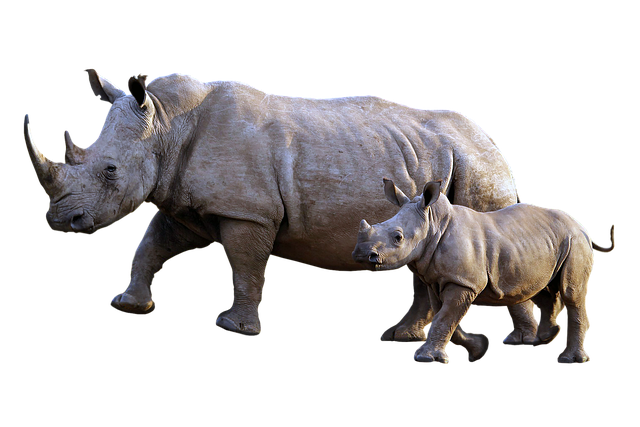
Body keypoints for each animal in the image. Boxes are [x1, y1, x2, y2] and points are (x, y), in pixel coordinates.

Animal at [23, 68, 540, 340]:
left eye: (110, 170)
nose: (59, 220)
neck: (166, 125)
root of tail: (495, 147)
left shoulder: (247, 210)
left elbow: (245, 263)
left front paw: (234, 329)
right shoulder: (188, 203)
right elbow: (153, 243)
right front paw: (129, 306)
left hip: (475, 168)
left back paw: (518, 341)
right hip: (442, 165)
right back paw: (401, 338)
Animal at [352, 179, 616, 364]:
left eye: (398, 238)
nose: (362, 254)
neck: (433, 223)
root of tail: (582, 227)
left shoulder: (463, 282)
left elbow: (443, 318)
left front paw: (425, 358)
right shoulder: (438, 280)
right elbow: (444, 317)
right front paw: (478, 349)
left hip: (575, 241)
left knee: (571, 292)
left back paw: (569, 360)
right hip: (546, 243)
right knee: (541, 289)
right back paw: (542, 338)